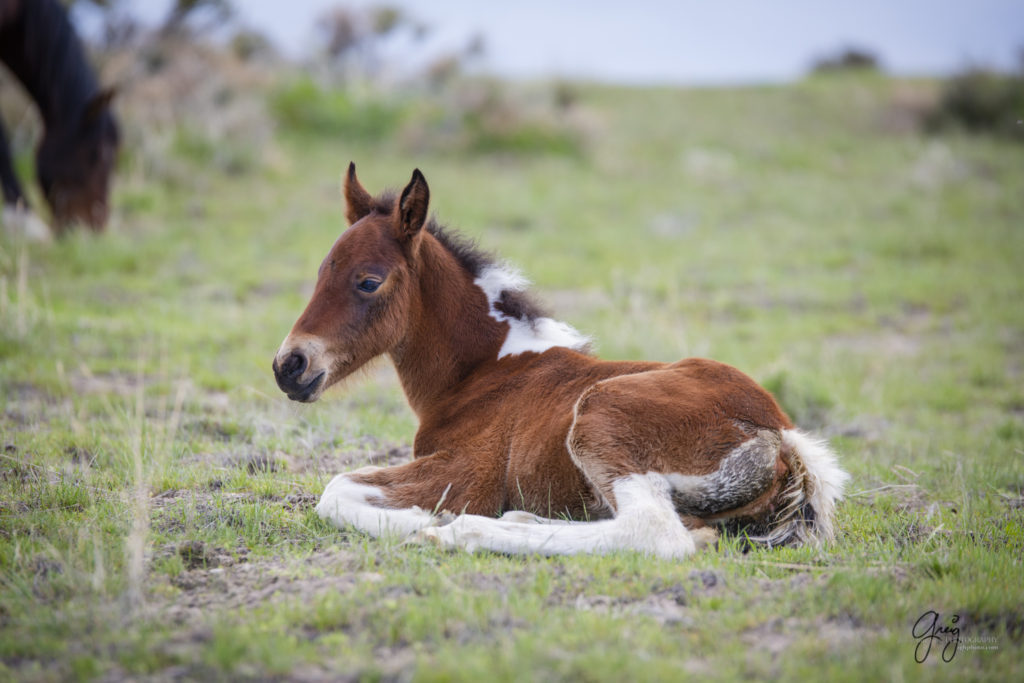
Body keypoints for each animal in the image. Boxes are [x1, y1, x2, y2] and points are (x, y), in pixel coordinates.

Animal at [272, 166, 847, 561]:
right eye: (322, 271)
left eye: (368, 281)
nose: (289, 365)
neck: (485, 373)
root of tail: (783, 434)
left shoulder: (467, 472)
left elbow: (335, 490)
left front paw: (421, 519)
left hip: (603, 413)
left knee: (656, 533)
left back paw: (463, 531)